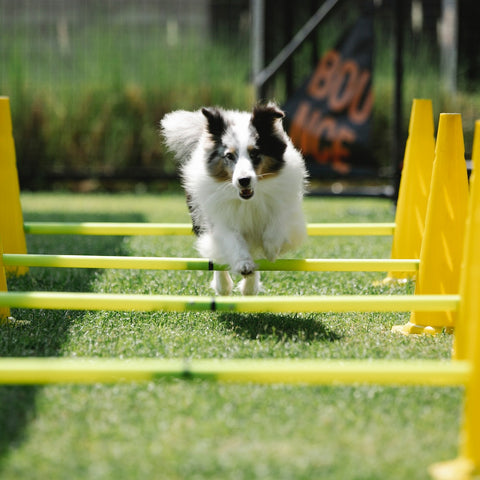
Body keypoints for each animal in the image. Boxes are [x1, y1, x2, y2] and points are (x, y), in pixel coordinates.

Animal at [161, 103, 308, 294]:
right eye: (229, 156)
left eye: (255, 153)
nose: (243, 180)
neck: (248, 200)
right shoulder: (220, 219)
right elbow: (233, 241)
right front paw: (243, 264)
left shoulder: (285, 207)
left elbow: (276, 224)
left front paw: (271, 250)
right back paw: (224, 287)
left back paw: (249, 288)